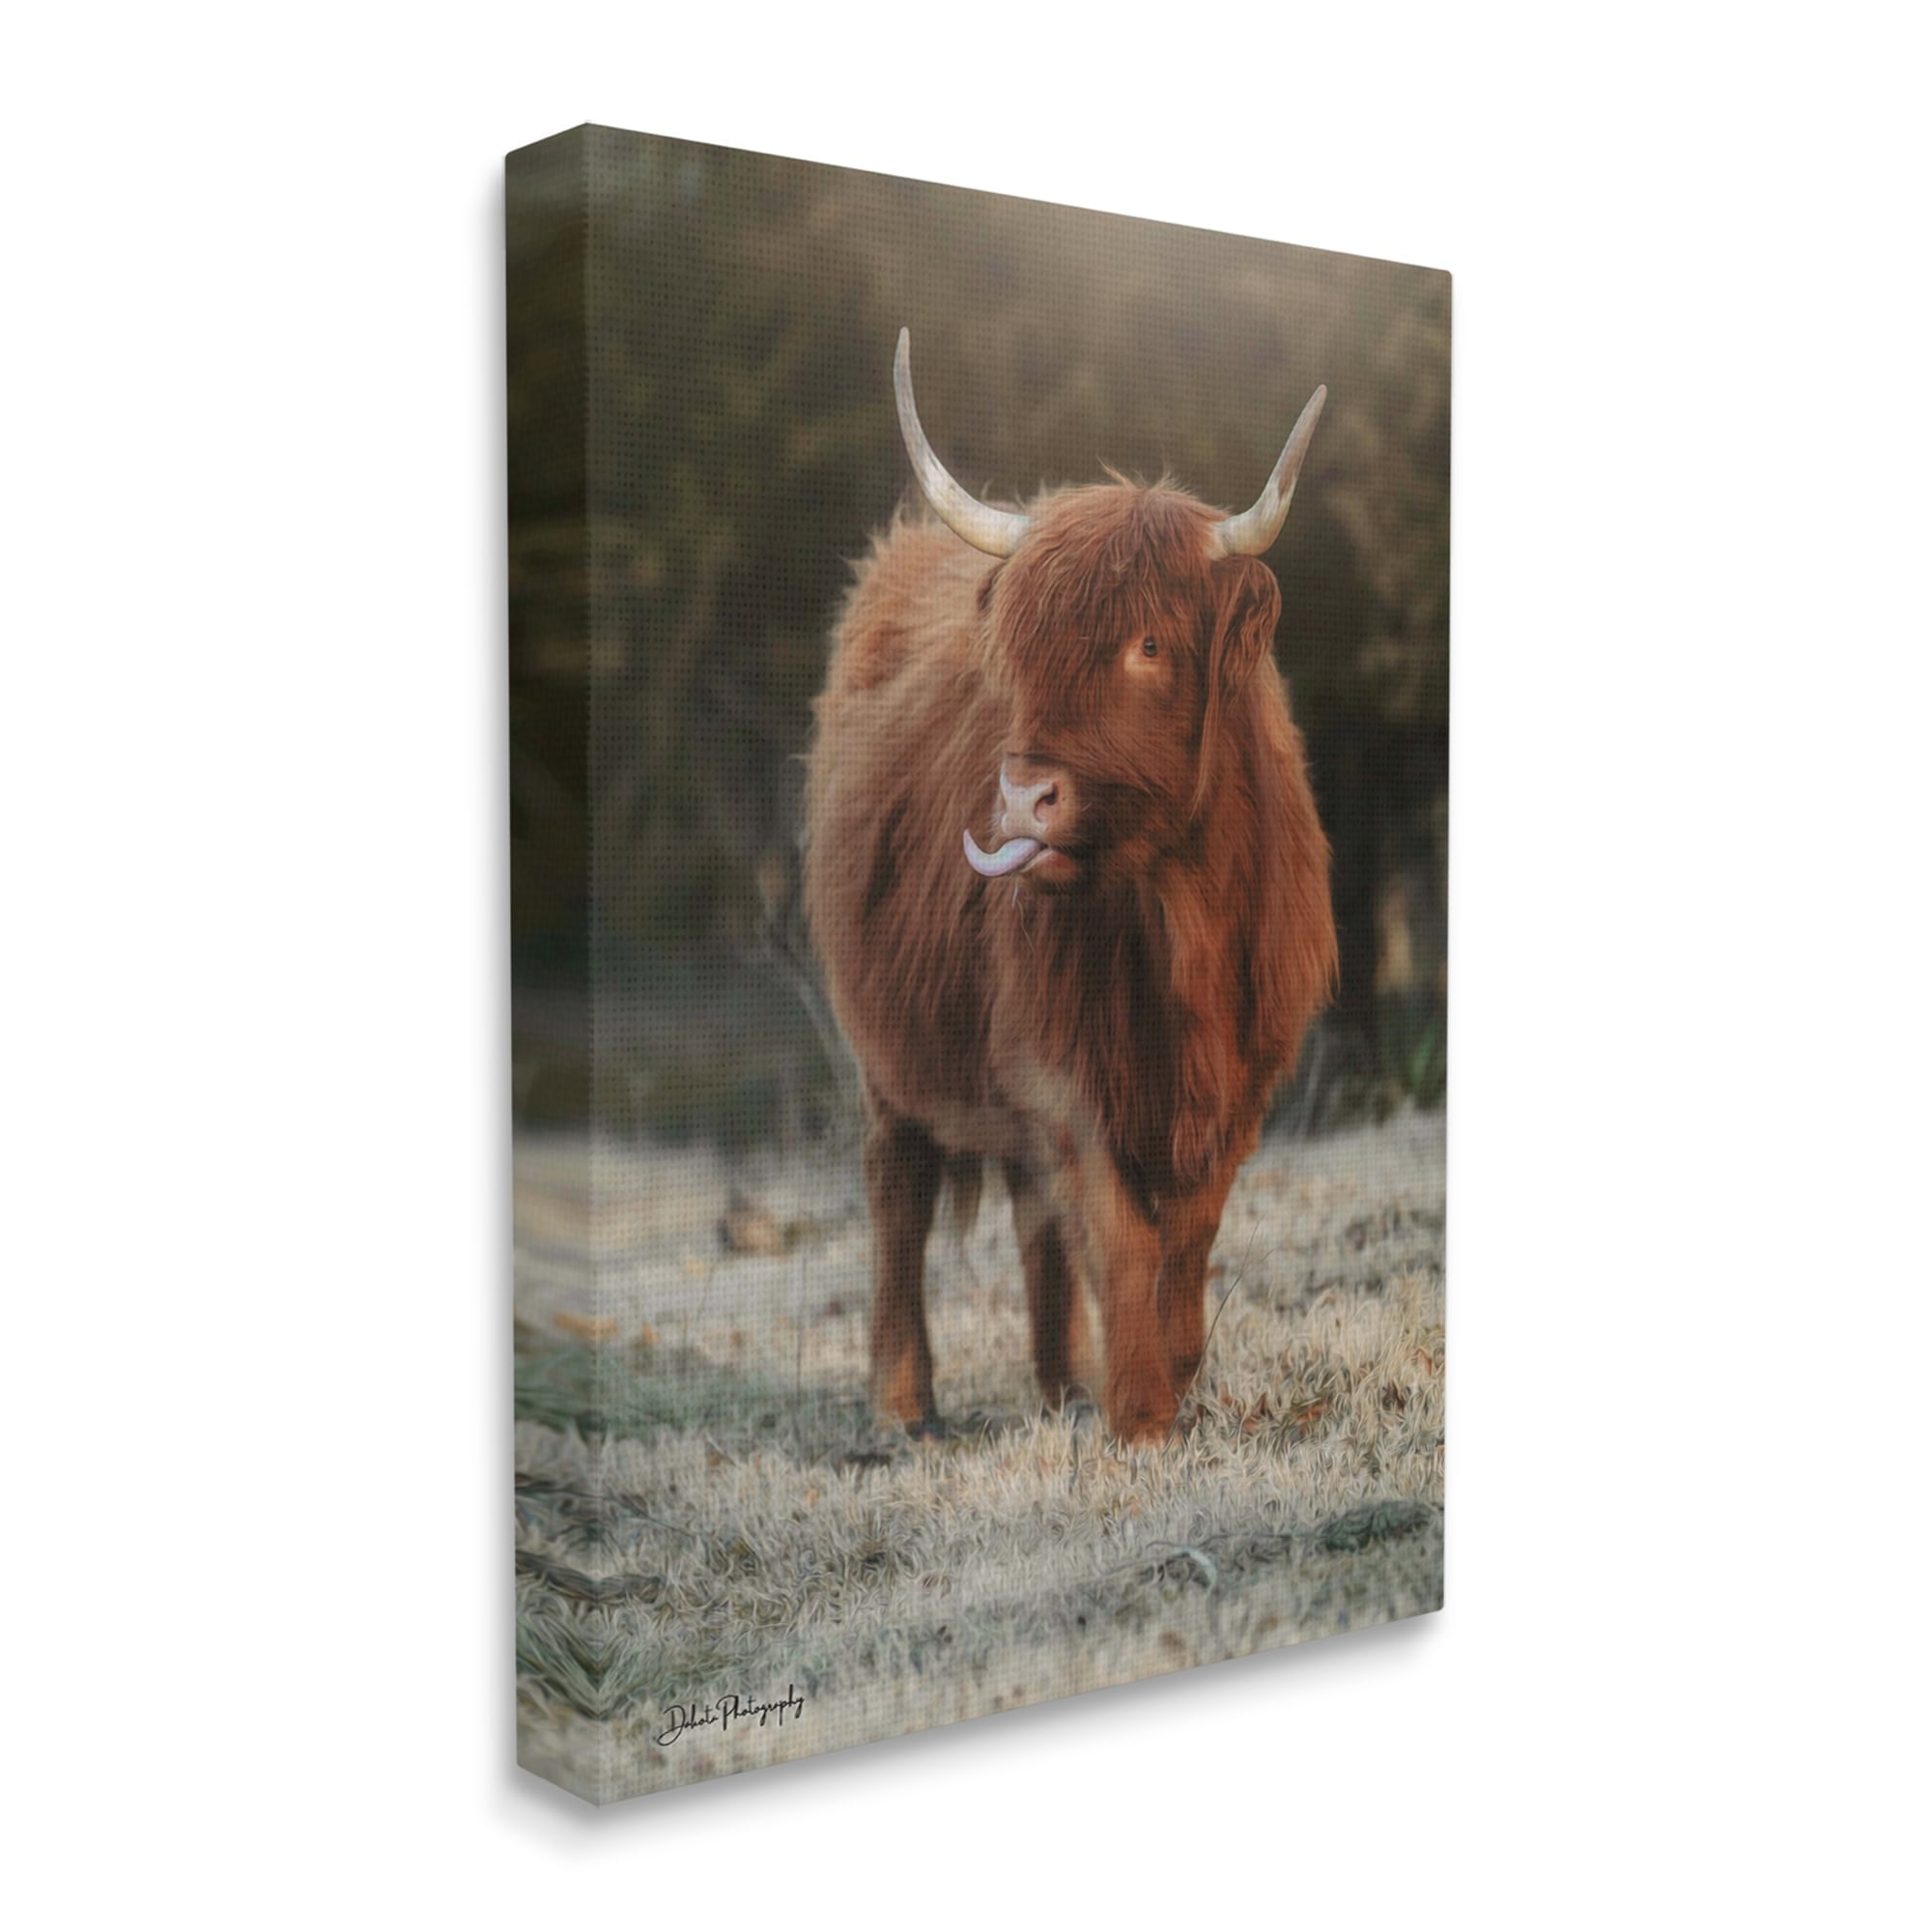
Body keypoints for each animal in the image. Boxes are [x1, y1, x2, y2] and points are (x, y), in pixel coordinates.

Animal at [803, 331, 1337, 1444]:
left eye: (1150, 643)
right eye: (1019, 651)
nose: (1021, 796)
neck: (1177, 915)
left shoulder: (1244, 1077)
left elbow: (1186, 1231)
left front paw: (1168, 1383)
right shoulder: (1063, 1067)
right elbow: (1119, 1229)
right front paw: (1139, 1416)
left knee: (1026, 1206)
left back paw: (1062, 1381)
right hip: (884, 1044)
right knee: (898, 1184)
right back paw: (903, 1402)